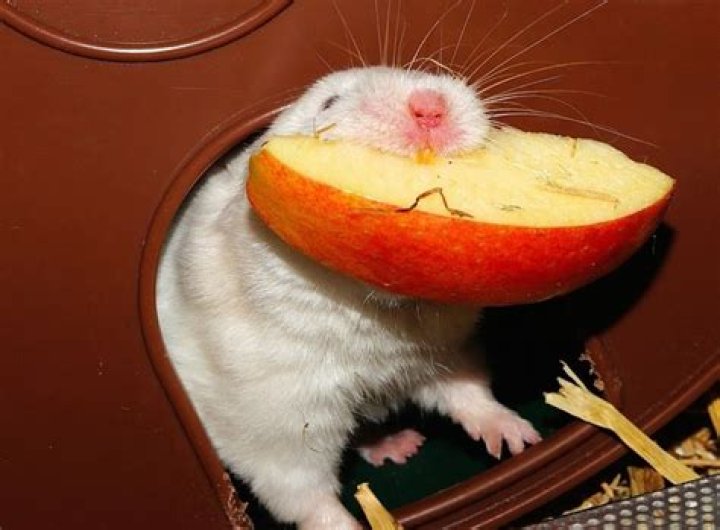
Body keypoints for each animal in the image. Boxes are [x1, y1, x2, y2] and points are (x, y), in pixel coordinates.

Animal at [156, 66, 541, 530]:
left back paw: (402, 444)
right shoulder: (278, 422)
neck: (381, 312)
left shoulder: (446, 352)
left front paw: (519, 440)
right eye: (329, 103)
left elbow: (467, 392)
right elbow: (306, 497)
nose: (430, 106)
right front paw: (353, 523)